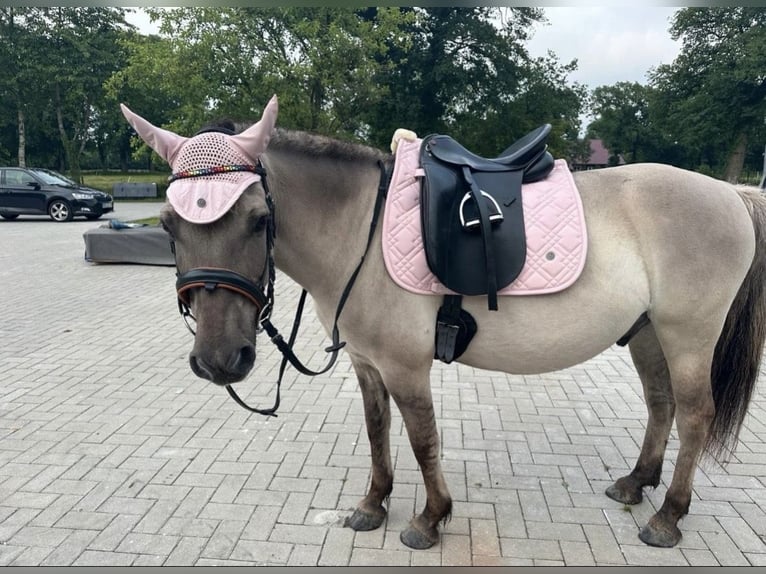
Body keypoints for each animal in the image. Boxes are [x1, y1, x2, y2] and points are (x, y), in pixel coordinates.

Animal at [120, 96, 766, 550]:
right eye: (169, 226)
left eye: (258, 219)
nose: (219, 360)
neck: (359, 229)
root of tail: (730, 192)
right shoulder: (366, 363)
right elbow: (377, 432)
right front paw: (373, 505)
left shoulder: (406, 366)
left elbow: (422, 438)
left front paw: (429, 519)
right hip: (648, 332)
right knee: (661, 404)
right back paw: (636, 482)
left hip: (688, 335)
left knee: (696, 415)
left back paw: (667, 517)